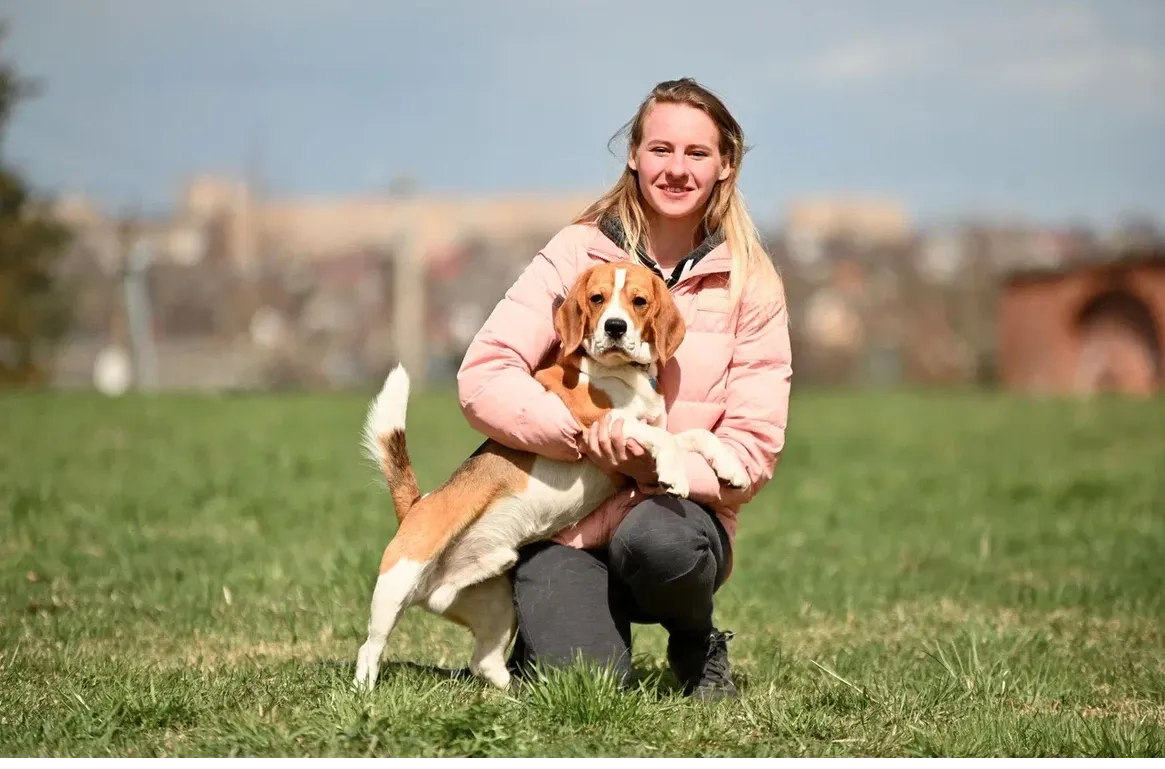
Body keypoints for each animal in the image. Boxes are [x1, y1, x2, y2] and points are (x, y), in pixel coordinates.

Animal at [352, 262, 750, 691]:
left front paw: (732, 467)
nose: (614, 327)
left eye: (639, 301)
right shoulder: (600, 424)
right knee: (370, 647)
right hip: (397, 583)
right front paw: (675, 472)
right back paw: (364, 693)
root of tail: (416, 504)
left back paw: (518, 694)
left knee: (484, 661)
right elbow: (663, 438)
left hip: (497, 605)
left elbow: (697, 435)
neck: (622, 375)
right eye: (597, 298)